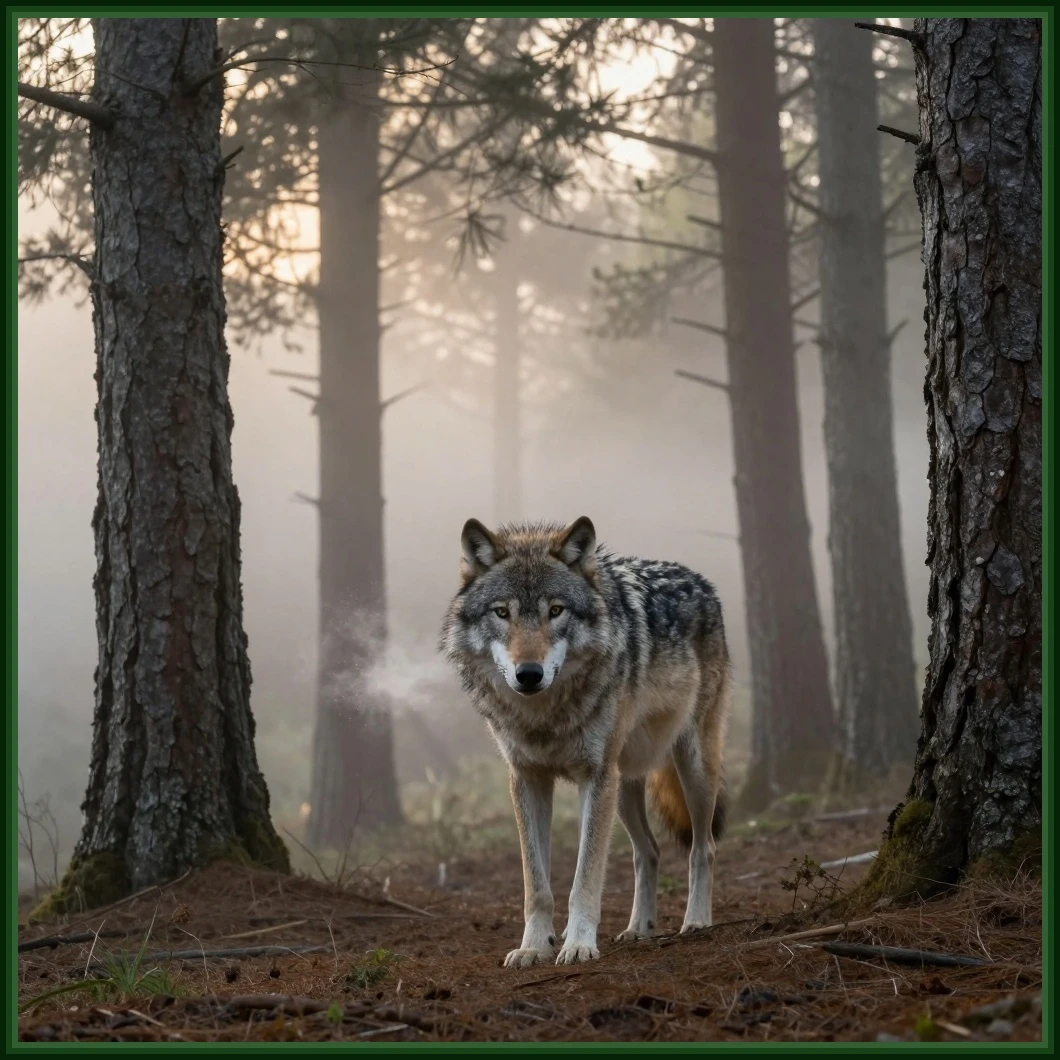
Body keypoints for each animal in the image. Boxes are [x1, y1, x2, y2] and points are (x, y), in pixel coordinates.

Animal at [440, 516, 730, 968]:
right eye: (502, 612)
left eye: (556, 611)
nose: (529, 674)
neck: (544, 717)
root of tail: (701, 581)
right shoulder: (528, 780)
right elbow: (536, 885)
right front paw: (533, 946)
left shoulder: (594, 777)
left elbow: (585, 877)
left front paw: (578, 944)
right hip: (623, 786)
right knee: (648, 851)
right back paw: (638, 928)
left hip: (691, 769)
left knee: (705, 847)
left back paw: (697, 921)